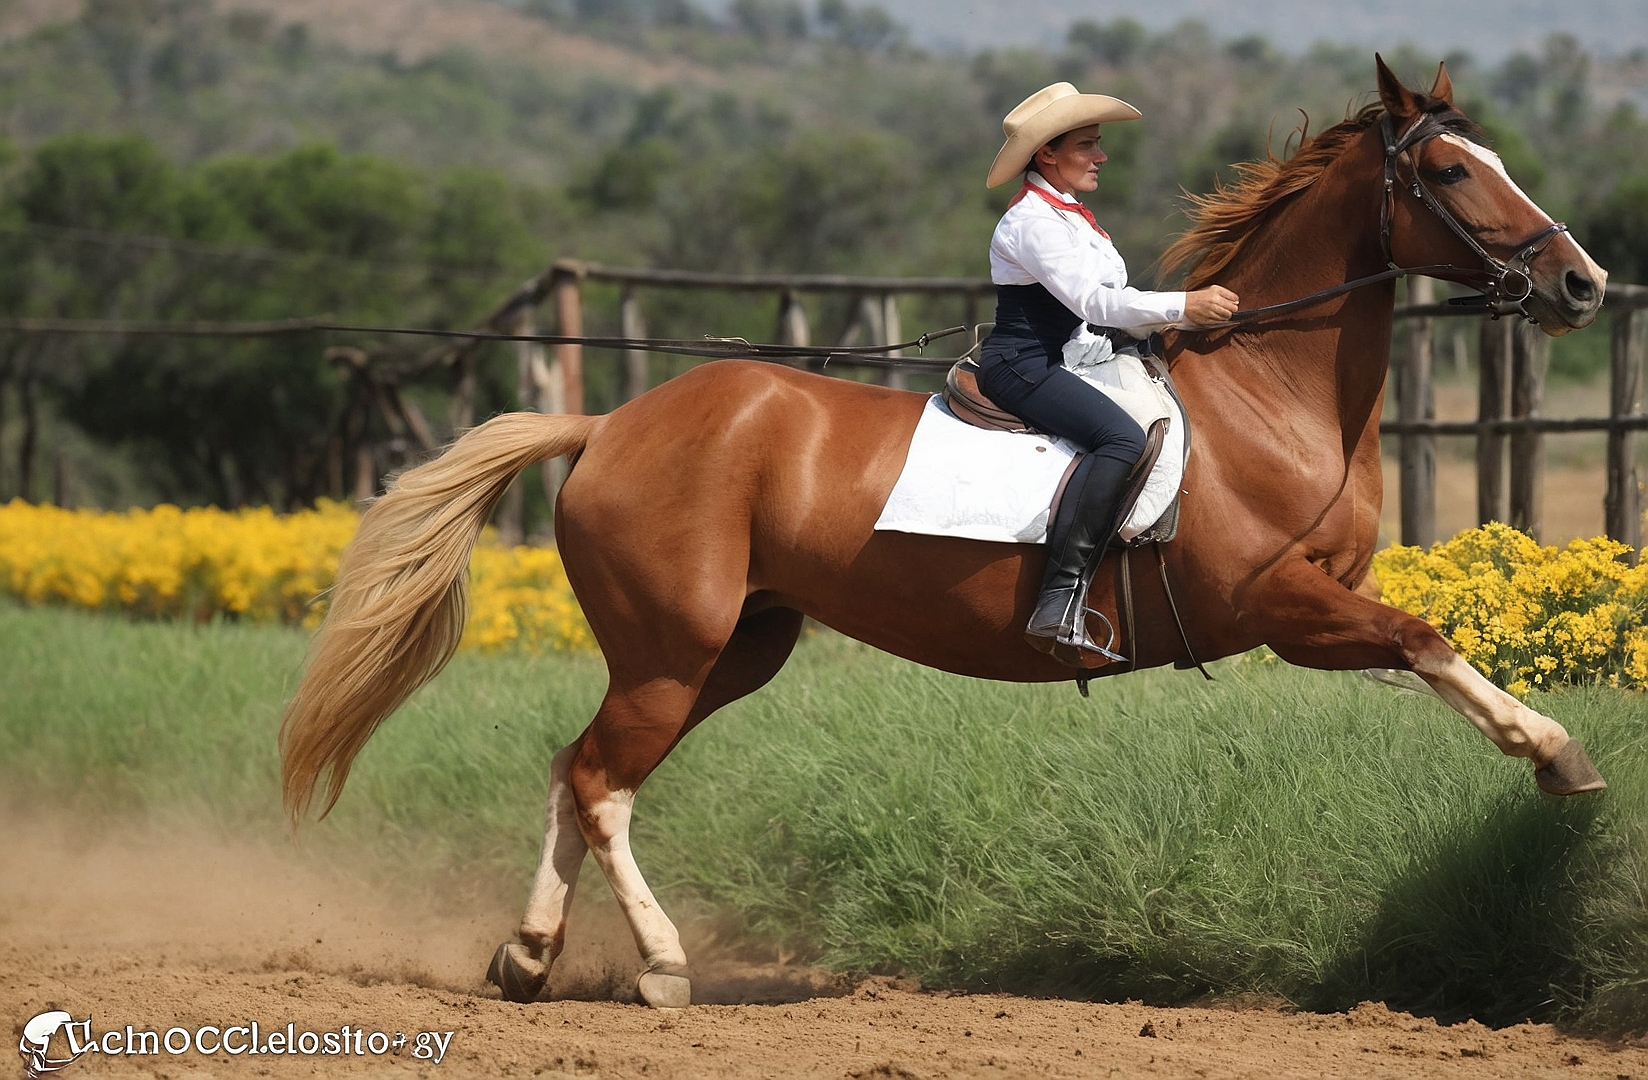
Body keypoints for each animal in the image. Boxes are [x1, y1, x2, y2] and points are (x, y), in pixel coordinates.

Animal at [279, 58, 1610, 1009]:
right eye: (1451, 173)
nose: (1583, 285)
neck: (1262, 400)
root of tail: (609, 422)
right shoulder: (1284, 609)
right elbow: (1429, 638)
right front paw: (1559, 757)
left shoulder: (1315, 606)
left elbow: (1423, 644)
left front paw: (1558, 757)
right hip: (671, 650)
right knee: (603, 781)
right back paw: (657, 967)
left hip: (731, 650)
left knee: (574, 769)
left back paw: (527, 957)